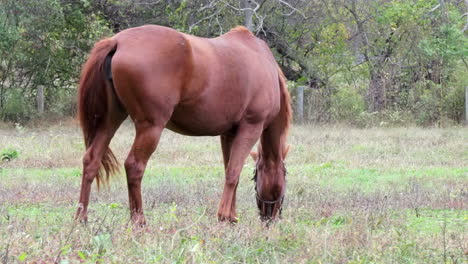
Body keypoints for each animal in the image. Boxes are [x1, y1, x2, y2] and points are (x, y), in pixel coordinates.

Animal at [75, 24, 290, 225]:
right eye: (285, 175)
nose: (271, 217)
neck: (262, 60)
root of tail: (117, 41)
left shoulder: (228, 134)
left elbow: (229, 172)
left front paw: (231, 217)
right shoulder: (250, 128)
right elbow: (233, 173)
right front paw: (224, 217)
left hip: (110, 120)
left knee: (91, 161)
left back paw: (81, 218)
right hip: (151, 127)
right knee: (134, 166)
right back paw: (139, 220)